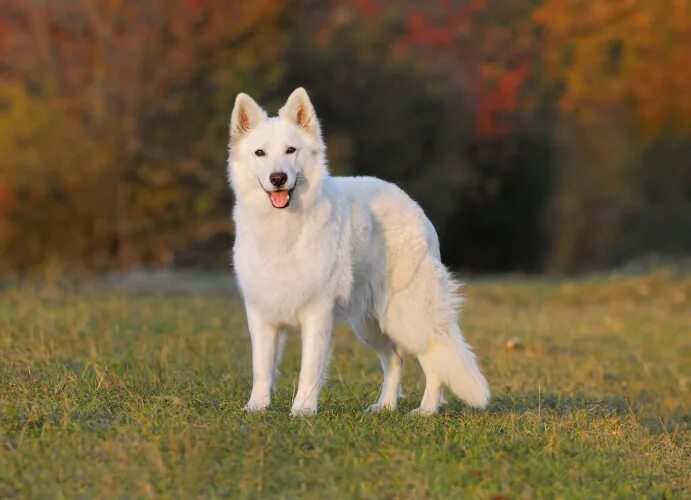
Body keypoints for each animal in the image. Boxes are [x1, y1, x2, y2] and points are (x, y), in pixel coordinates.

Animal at [230, 88, 490, 416]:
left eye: (290, 150)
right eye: (260, 154)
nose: (278, 178)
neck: (282, 226)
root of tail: (412, 204)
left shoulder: (317, 314)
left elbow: (309, 369)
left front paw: (302, 411)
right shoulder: (262, 314)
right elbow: (262, 368)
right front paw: (256, 408)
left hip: (407, 317)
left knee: (434, 359)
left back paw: (426, 410)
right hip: (369, 324)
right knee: (396, 359)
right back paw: (385, 407)